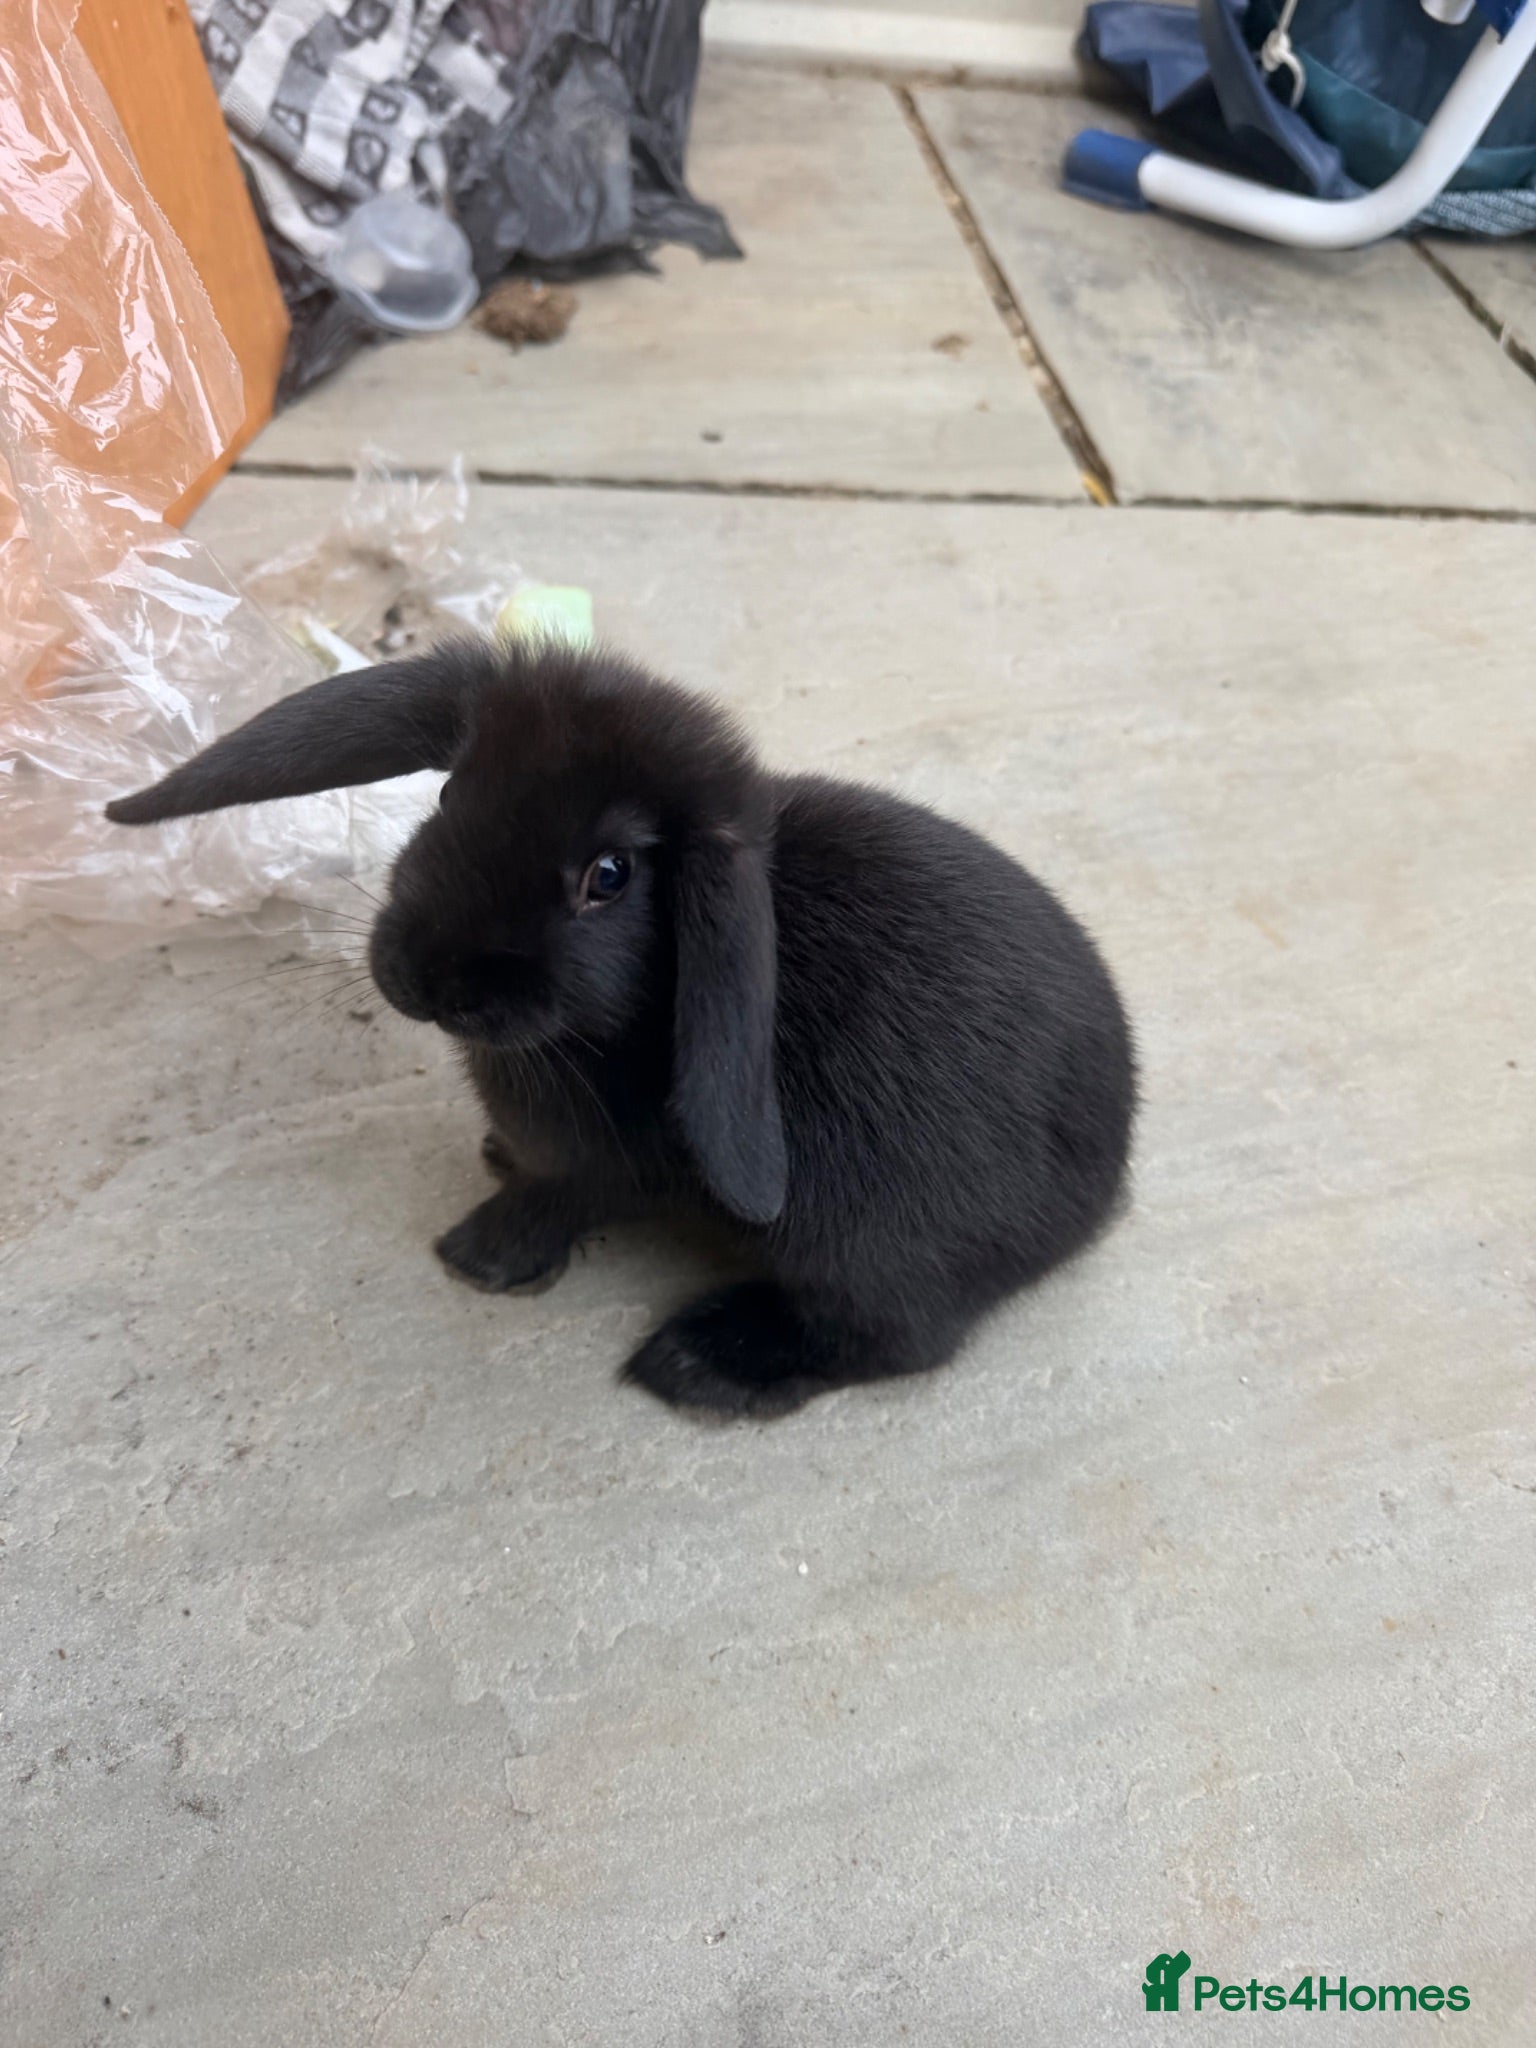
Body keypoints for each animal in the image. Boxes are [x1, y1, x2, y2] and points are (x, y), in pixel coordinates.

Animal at [107, 640, 1136, 1419]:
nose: (430, 981)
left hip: (862, 1245)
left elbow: (561, 1195)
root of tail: (1100, 1194)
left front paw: (482, 1258)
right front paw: (494, 1162)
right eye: (446, 798)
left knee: (893, 1339)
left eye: (609, 875)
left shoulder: (608, 1168)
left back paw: (701, 1363)